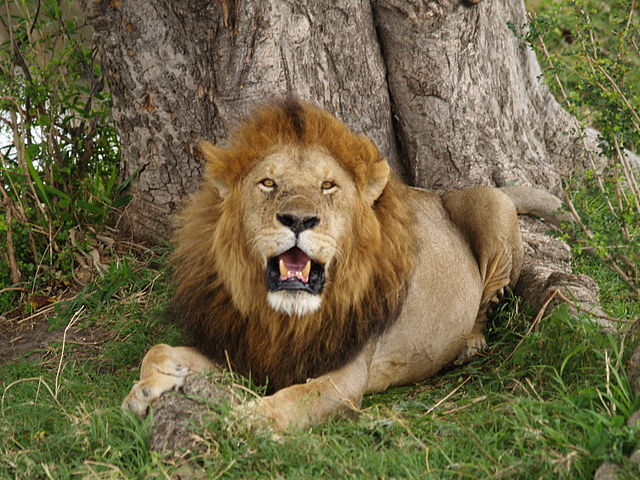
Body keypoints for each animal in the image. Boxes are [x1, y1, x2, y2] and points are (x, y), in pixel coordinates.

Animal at [123, 99, 565, 430]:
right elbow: (158, 349)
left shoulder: (346, 378)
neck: (285, 319)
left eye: (328, 186)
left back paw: (469, 343)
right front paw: (148, 388)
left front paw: (246, 419)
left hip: (492, 206)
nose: (298, 219)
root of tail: (440, 194)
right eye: (268, 183)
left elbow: (295, 399)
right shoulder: (245, 351)